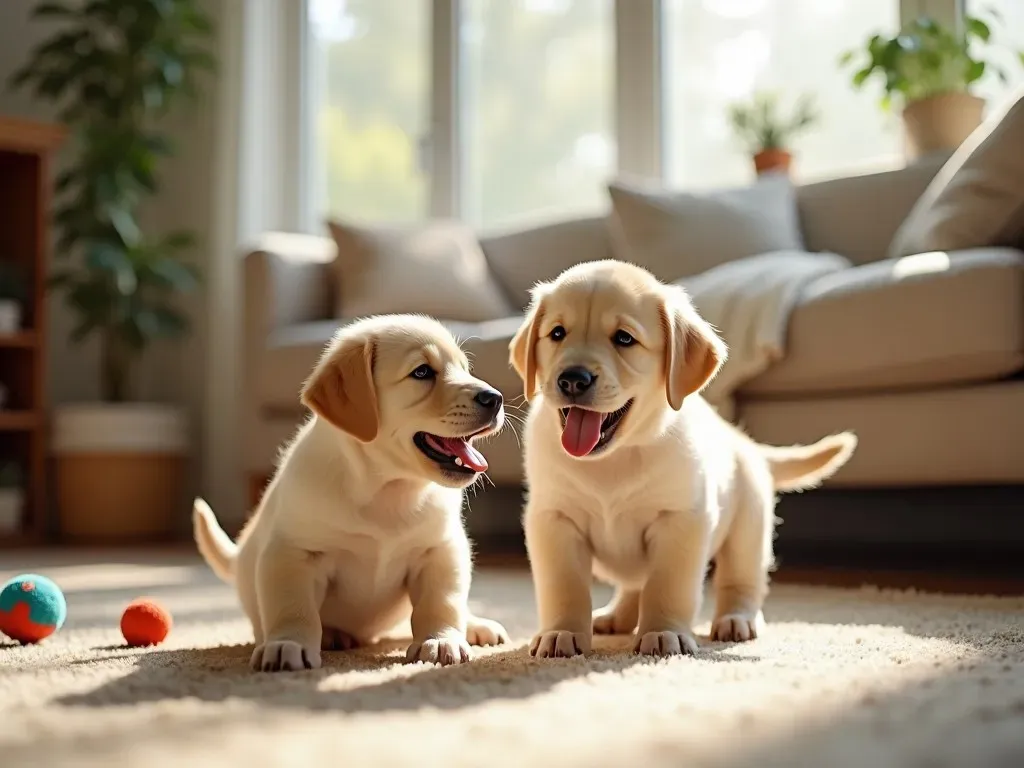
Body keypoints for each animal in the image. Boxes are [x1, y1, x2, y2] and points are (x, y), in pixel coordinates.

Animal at [192, 313, 507, 671]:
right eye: (422, 372)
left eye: (465, 368)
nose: (495, 398)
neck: (387, 488)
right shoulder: (292, 552)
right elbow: (293, 606)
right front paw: (288, 643)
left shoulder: (440, 550)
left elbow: (441, 602)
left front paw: (439, 640)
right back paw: (330, 635)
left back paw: (476, 625)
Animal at [509, 262, 856, 659]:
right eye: (557, 333)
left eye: (624, 339)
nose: (572, 379)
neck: (615, 458)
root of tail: (743, 441)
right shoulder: (554, 519)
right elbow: (564, 585)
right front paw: (561, 632)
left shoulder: (681, 521)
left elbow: (667, 585)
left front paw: (663, 633)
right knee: (634, 586)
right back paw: (615, 617)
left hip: (748, 528)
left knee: (741, 580)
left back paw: (737, 619)